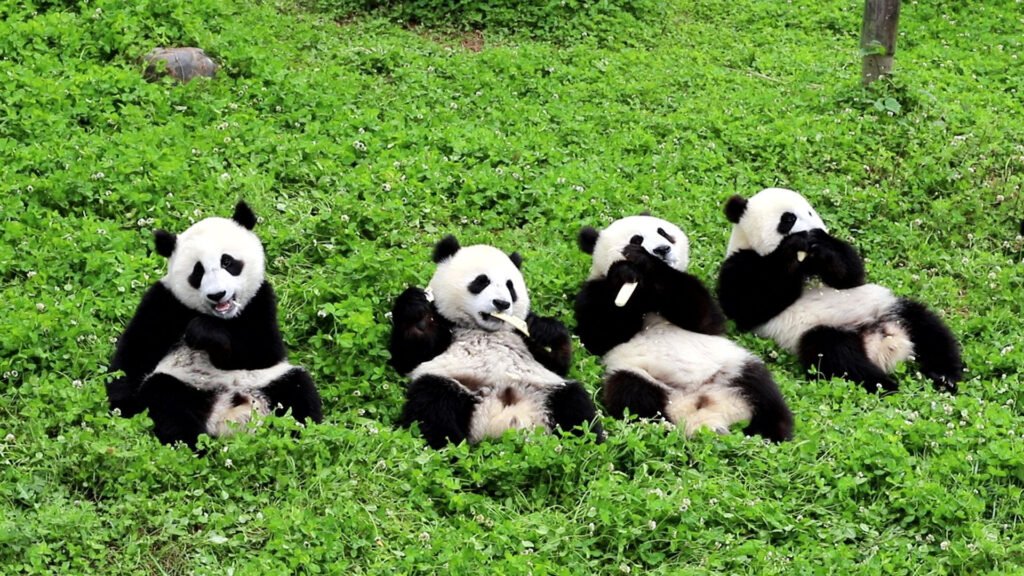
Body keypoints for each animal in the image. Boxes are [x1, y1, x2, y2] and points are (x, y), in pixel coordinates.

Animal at [106, 201, 323, 448]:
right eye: (197, 271)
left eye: (227, 262)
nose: (217, 294)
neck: (220, 317)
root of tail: (230, 415)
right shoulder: (165, 302)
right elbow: (136, 351)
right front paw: (123, 406)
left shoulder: (260, 301)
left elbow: (262, 351)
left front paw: (202, 333)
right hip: (189, 386)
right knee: (167, 401)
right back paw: (192, 445)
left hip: (268, 381)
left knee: (299, 389)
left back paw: (302, 437)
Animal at [389, 235, 604, 449]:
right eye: (481, 281)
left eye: (510, 286)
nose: (502, 303)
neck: (484, 330)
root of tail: (504, 420)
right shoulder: (444, 325)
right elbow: (410, 357)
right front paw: (417, 313)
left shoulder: (519, 335)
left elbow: (557, 364)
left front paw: (545, 331)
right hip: (458, 386)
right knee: (433, 401)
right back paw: (450, 446)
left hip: (545, 390)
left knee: (576, 404)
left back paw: (585, 444)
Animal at [574, 215, 793, 442]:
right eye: (636, 239)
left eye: (663, 232)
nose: (662, 249)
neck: (647, 292)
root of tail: (704, 403)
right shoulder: (592, 292)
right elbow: (600, 335)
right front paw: (623, 273)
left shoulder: (694, 297)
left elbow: (702, 316)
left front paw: (647, 261)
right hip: (641, 375)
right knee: (632, 393)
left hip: (732, 366)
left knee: (762, 390)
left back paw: (770, 432)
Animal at [717, 187, 963, 394]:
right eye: (788, 219)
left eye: (810, 212)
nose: (813, 230)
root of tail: (883, 339)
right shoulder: (739, 264)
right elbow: (751, 304)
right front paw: (791, 249)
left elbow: (850, 275)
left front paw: (822, 245)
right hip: (814, 332)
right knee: (836, 354)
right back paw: (886, 384)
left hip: (887, 306)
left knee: (928, 328)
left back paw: (944, 376)